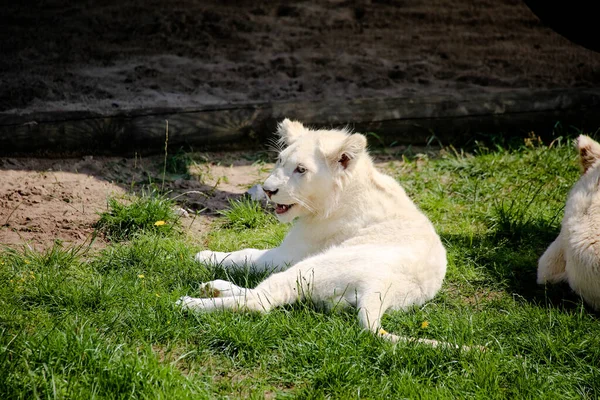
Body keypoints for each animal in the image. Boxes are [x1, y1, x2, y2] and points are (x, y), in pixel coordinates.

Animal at [176, 118, 452, 346]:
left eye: (301, 169)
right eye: (280, 161)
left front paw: (205, 256)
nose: (267, 190)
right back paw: (214, 287)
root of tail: (382, 287)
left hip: (316, 265)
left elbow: (247, 254)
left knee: (262, 300)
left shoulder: (289, 253)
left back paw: (191, 303)